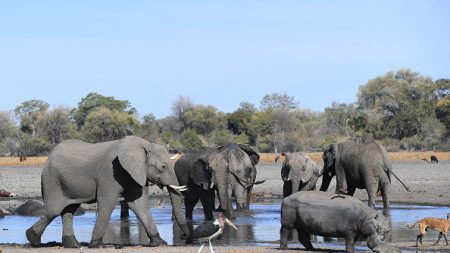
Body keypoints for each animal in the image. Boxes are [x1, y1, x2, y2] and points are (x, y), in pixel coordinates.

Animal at [25, 135, 190, 248]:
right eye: (163, 167)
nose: (185, 237)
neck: (143, 144)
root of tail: (49, 157)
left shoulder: (135, 173)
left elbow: (139, 205)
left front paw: (159, 242)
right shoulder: (109, 172)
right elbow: (108, 202)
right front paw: (97, 245)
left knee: (68, 211)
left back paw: (73, 245)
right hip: (52, 180)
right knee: (53, 210)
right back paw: (33, 239)